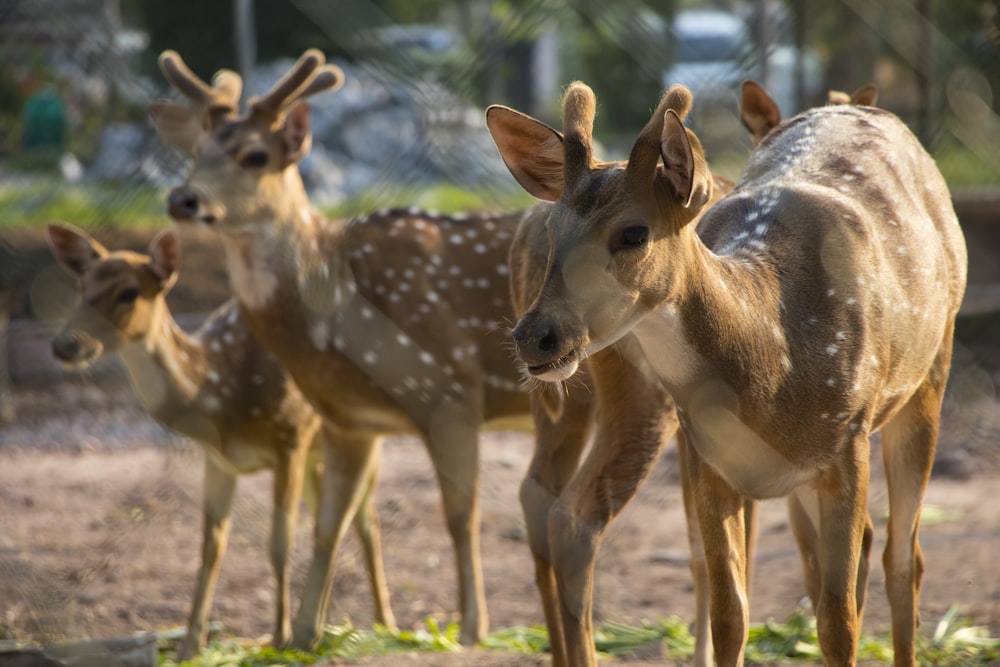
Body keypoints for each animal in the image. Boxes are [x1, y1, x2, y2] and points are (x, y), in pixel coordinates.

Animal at [45, 223, 394, 656]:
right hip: (320, 452)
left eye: (129, 292)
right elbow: (211, 547)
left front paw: (278, 637)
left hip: (358, 430)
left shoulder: (290, 438)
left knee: (365, 520)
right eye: (81, 286)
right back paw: (323, 628)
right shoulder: (218, 459)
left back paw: (382, 625)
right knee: (331, 521)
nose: (65, 344)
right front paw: (189, 647)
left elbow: (280, 543)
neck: (222, 394)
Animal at [146, 48, 556, 652]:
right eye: (196, 152)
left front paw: (471, 626)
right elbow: (327, 525)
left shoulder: (450, 390)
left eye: (256, 155)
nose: (183, 198)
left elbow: (460, 514)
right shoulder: (350, 421)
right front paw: (302, 636)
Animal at [488, 78, 964, 667]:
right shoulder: (711, 459)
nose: (535, 335)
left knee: (904, 558)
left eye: (634, 233)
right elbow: (731, 613)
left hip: (929, 373)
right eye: (557, 229)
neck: (773, 366)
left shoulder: (846, 443)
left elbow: (838, 621)